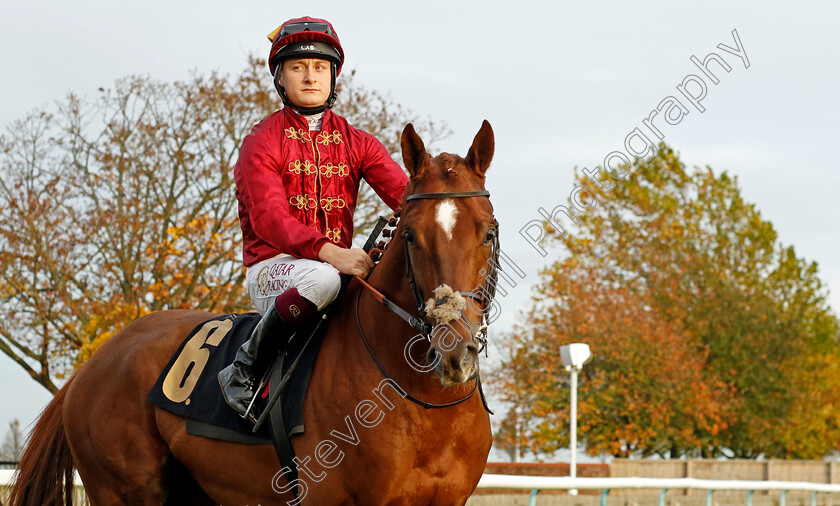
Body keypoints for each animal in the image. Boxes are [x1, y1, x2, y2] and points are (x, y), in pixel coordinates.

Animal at [9, 120, 496, 504]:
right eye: (410, 236)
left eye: (488, 232)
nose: (454, 353)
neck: (426, 404)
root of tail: (97, 360)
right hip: (124, 490)